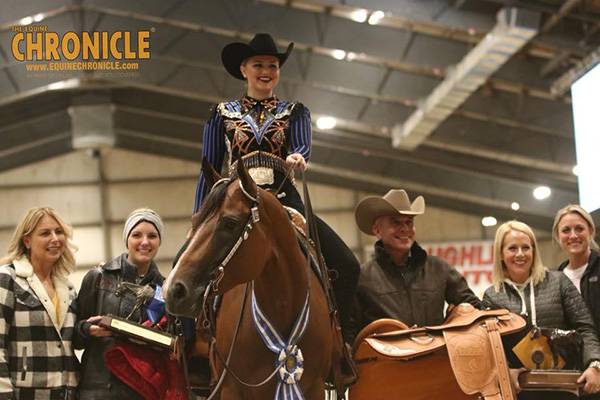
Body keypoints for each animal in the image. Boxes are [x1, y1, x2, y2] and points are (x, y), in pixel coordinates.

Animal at [164, 159, 338, 400]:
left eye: (229, 223)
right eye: (195, 220)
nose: (174, 290)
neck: (283, 308)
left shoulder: (315, 387)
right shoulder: (231, 389)